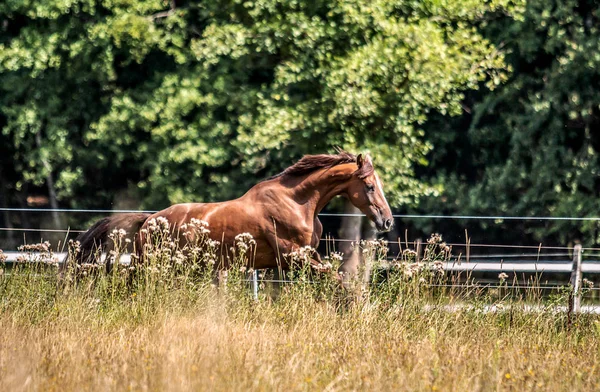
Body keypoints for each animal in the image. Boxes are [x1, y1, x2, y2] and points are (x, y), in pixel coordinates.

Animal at [75, 152, 394, 274]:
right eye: (369, 186)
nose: (387, 220)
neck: (297, 202)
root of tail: (148, 220)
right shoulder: (296, 257)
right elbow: (335, 279)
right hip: (153, 263)